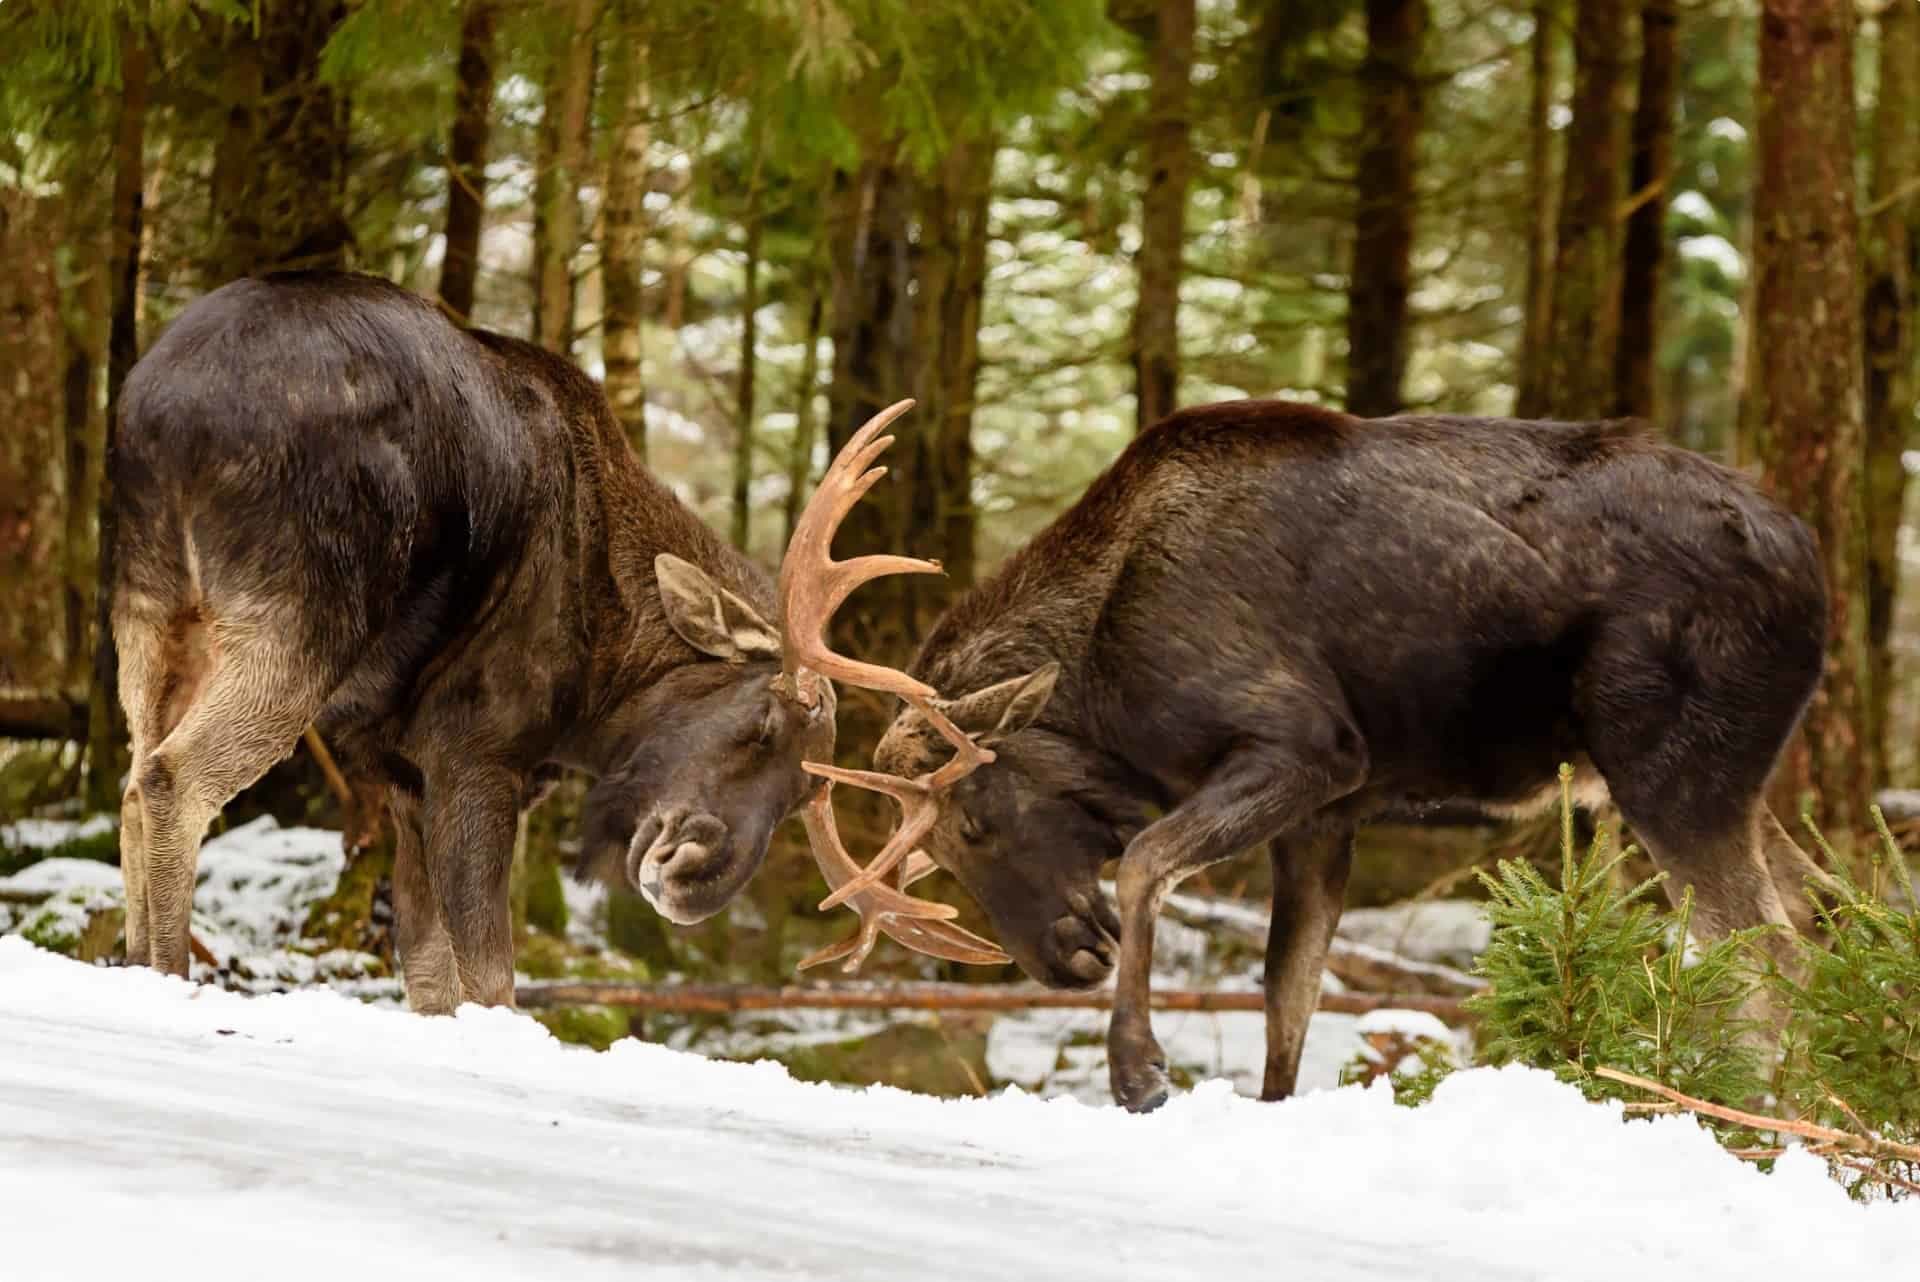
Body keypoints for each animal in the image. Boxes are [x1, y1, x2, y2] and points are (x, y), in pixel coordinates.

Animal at [110, 272, 998, 1013]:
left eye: (804, 798)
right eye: (764, 724)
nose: (695, 882)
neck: (598, 688)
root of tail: (171, 413)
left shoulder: (402, 775)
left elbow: (429, 974)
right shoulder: (475, 753)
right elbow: (492, 978)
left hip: (150, 610)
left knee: (129, 780)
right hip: (299, 613)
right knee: (172, 779)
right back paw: (169, 977)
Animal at [806, 401, 1827, 1113]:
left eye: (975, 823)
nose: (1063, 963)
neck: (1103, 677)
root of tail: (1815, 566)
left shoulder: (1310, 749)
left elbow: (1143, 863)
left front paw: (1139, 1071)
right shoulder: (1326, 819)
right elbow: (1286, 1002)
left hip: (1669, 772)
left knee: (1769, 960)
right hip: (1731, 781)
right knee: (1815, 919)